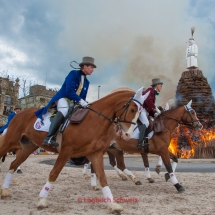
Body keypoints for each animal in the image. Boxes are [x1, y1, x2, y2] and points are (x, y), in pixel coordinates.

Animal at [0, 88, 148, 214]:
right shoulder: (66, 151)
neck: (93, 120)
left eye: (140, 112)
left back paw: (5, 190)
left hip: (28, 147)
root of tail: (19, 113)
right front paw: (42, 200)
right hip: (10, 141)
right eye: (132, 109)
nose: (127, 135)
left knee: (14, 164)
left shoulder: (95, 154)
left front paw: (113, 205)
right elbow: (54, 174)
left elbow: (103, 178)